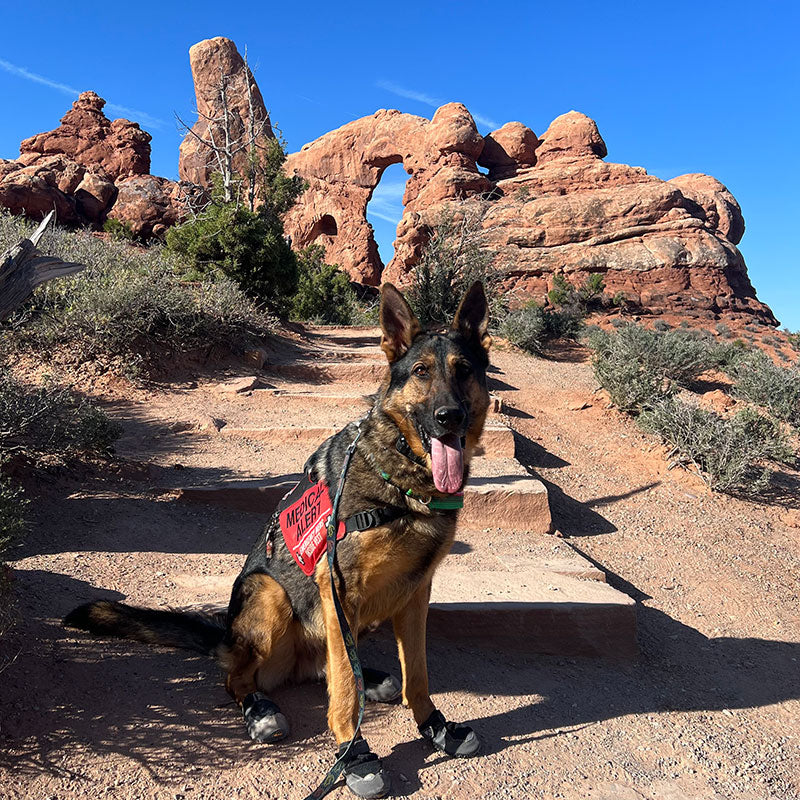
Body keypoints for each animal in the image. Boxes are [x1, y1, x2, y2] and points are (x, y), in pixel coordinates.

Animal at [65, 282, 494, 800]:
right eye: (421, 372)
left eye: (464, 370)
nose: (449, 416)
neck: (405, 479)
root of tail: (229, 638)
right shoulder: (339, 586)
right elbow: (344, 696)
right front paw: (354, 754)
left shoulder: (415, 592)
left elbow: (417, 676)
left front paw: (435, 726)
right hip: (270, 596)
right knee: (240, 677)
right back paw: (260, 710)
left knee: (335, 667)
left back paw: (369, 680)